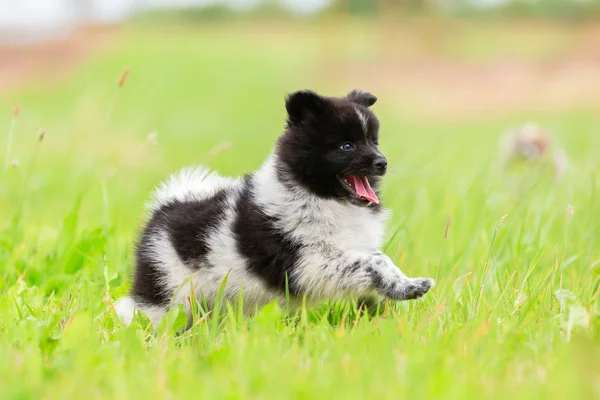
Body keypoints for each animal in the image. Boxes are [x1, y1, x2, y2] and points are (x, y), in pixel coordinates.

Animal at [116, 89, 436, 326]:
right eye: (347, 146)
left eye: (373, 141)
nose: (382, 162)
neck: (323, 198)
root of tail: (166, 206)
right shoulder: (308, 261)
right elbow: (374, 261)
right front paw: (408, 288)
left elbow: (376, 260)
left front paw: (386, 301)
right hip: (170, 288)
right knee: (144, 311)